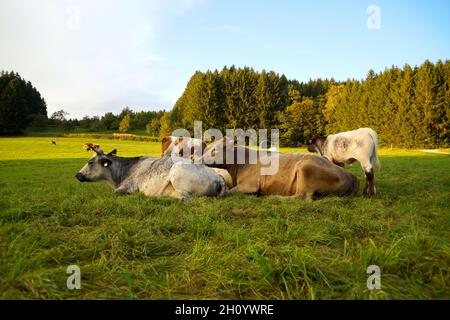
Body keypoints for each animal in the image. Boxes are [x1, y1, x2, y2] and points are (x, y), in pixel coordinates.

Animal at [76, 144, 229, 200]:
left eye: (90, 162)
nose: (77, 175)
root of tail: (218, 177)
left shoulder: (128, 186)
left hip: (178, 174)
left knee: (184, 198)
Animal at [203, 138, 358, 200]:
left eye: (215, 150)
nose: (200, 159)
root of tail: (349, 174)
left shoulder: (250, 185)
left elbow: (229, 192)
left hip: (305, 170)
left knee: (301, 197)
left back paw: (274, 197)